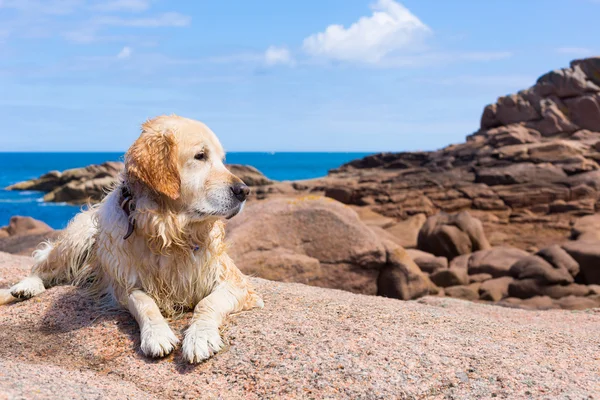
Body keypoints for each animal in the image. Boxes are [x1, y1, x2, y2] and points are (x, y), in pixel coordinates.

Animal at [0, 115, 262, 362]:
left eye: (222, 159)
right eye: (200, 156)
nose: (245, 191)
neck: (170, 232)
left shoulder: (235, 282)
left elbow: (207, 303)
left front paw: (200, 337)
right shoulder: (125, 284)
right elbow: (145, 303)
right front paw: (157, 334)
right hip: (76, 239)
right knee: (43, 266)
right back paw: (25, 287)